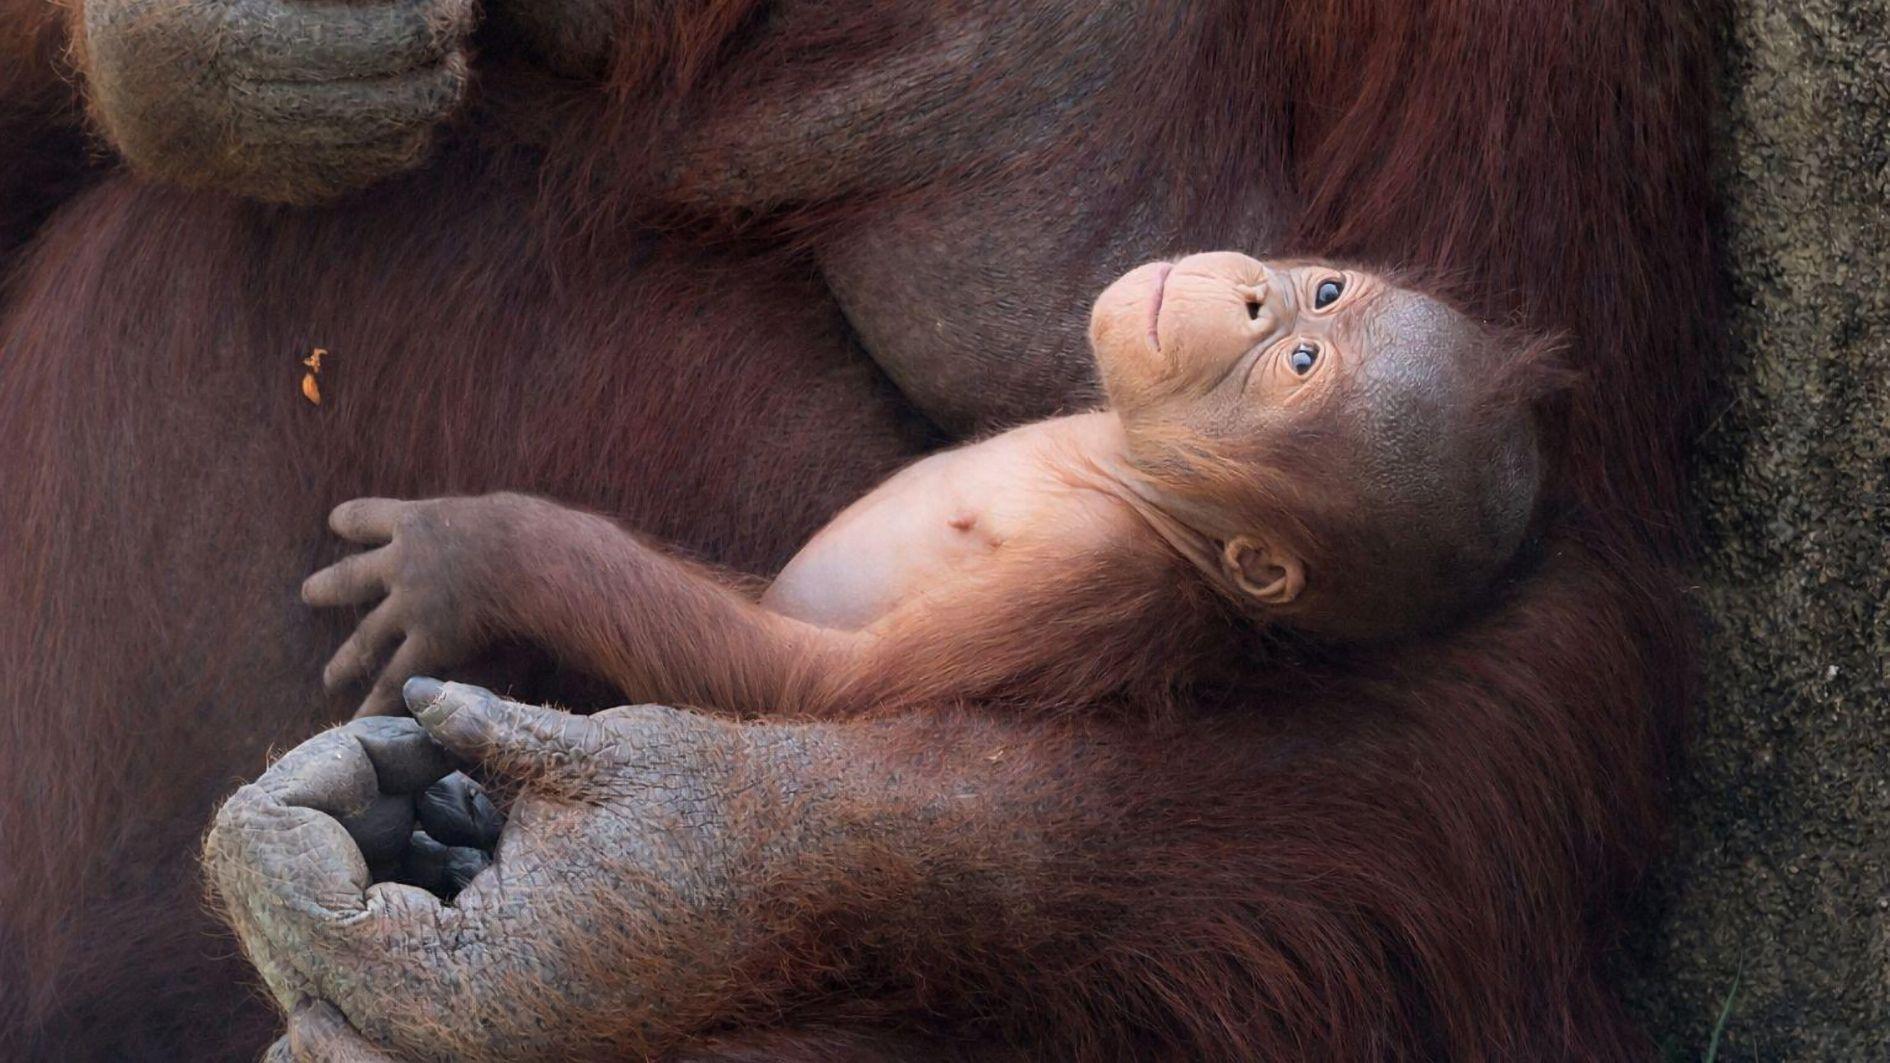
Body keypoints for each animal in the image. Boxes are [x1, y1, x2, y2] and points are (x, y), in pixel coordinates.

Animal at [304, 252, 1558, 720]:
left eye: (1299, 366)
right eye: (1324, 297)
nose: (1258, 292)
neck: (1122, 464)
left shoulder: (1090, 576)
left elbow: (822, 684)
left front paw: (476, 555)